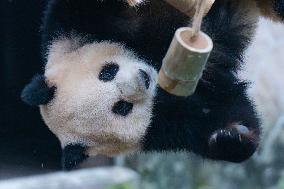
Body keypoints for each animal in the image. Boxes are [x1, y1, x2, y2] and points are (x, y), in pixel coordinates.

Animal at [20, 0, 284, 170]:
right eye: (121, 107)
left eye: (107, 72)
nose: (142, 79)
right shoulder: (162, 128)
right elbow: (222, 114)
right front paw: (230, 137)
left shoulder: (69, 32)